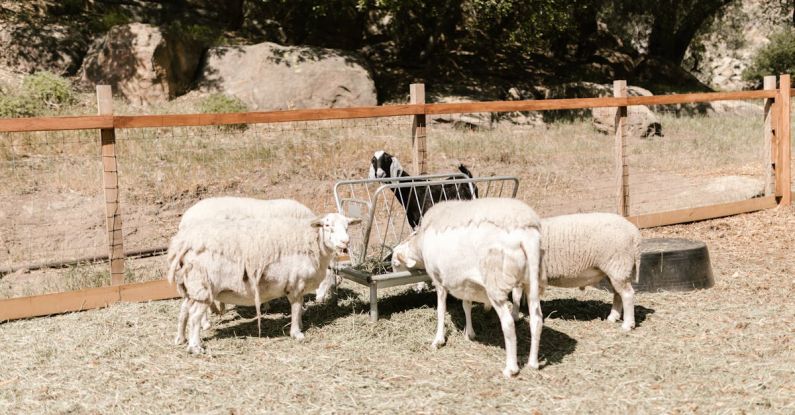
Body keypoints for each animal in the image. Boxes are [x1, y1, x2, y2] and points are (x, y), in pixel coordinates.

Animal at [168, 214, 360, 354]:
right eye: (327, 226)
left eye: (347, 226)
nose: (345, 242)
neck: (313, 245)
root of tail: (183, 245)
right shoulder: (296, 284)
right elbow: (296, 308)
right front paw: (297, 333)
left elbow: (298, 309)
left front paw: (300, 325)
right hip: (202, 287)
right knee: (194, 316)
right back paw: (195, 346)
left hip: (193, 287)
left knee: (183, 311)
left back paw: (180, 339)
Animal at [394, 198, 544, 376]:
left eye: (395, 264)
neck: (421, 244)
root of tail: (526, 234)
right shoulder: (465, 282)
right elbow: (466, 306)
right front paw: (469, 333)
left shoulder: (440, 279)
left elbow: (441, 310)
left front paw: (438, 340)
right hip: (531, 281)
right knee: (537, 319)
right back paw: (533, 363)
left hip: (495, 284)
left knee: (507, 323)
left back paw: (511, 368)